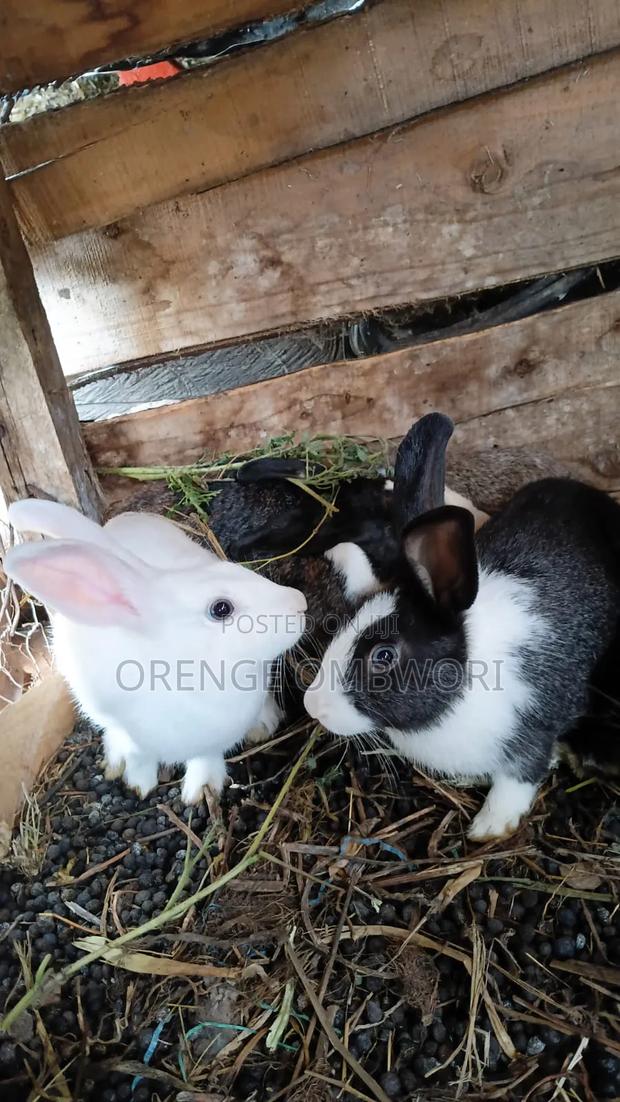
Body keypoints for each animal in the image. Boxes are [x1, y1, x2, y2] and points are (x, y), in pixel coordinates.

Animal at [4, 499, 307, 803]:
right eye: (221, 608)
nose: (299, 603)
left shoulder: (213, 741)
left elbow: (206, 758)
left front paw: (201, 789)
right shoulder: (135, 737)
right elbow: (140, 756)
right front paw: (138, 784)